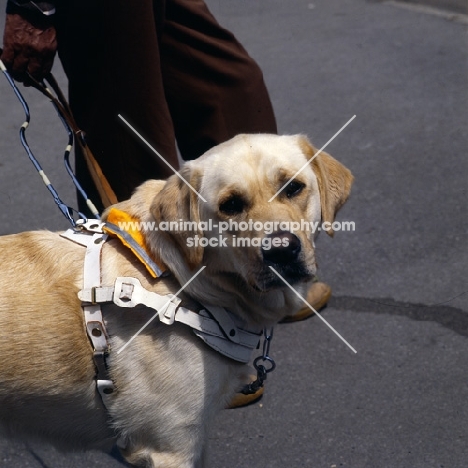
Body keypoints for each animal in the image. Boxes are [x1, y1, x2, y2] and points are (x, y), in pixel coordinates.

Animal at [0, 133, 352, 466]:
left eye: (293, 187)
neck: (181, 282)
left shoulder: (195, 439)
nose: (281, 249)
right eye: (231, 205)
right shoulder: (171, 447)